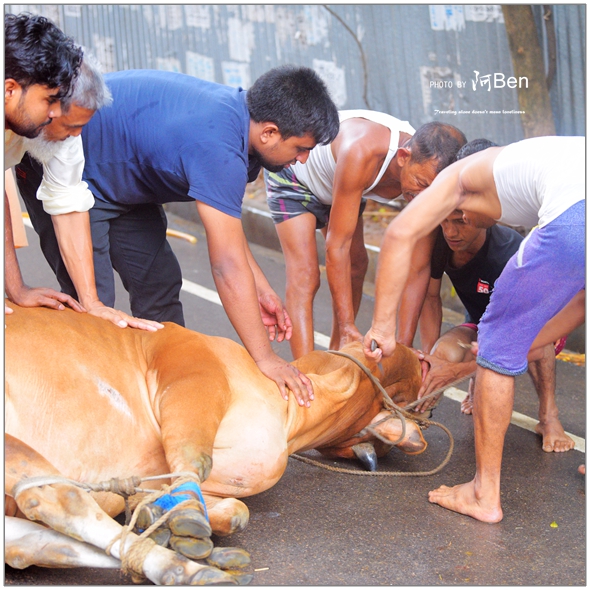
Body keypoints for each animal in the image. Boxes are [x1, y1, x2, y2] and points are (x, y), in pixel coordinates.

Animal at [4, 306, 426, 588]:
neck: (290, 416)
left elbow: (232, 508)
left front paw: (158, 515)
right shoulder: (192, 369)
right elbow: (191, 460)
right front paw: (181, 517)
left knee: (33, 537)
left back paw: (192, 563)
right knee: (57, 504)